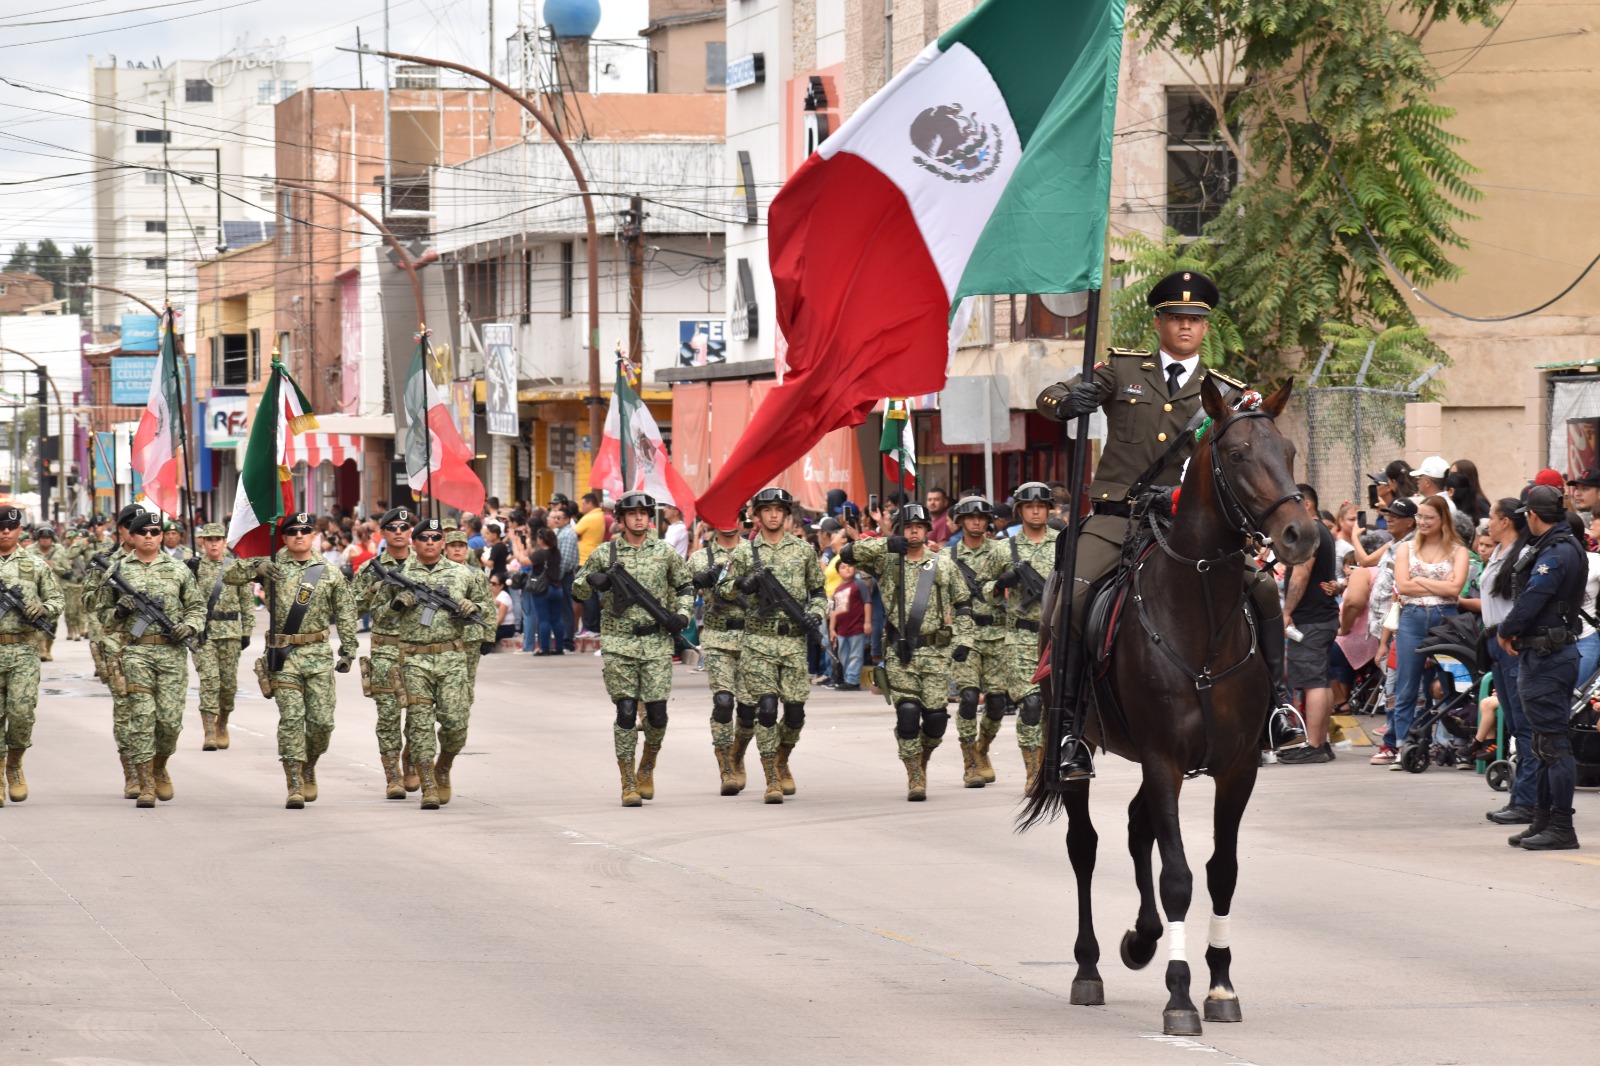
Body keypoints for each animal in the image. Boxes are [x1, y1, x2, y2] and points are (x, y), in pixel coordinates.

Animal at [1024, 372, 1312, 1030]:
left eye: (1288, 453)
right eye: (1239, 454)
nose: (1302, 534)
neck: (1199, 618)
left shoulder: (1234, 767)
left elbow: (1221, 872)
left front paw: (1220, 984)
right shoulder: (1163, 759)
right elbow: (1177, 875)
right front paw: (1180, 995)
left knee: (1137, 828)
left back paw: (1143, 937)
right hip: (1082, 746)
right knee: (1086, 847)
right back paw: (1090, 967)